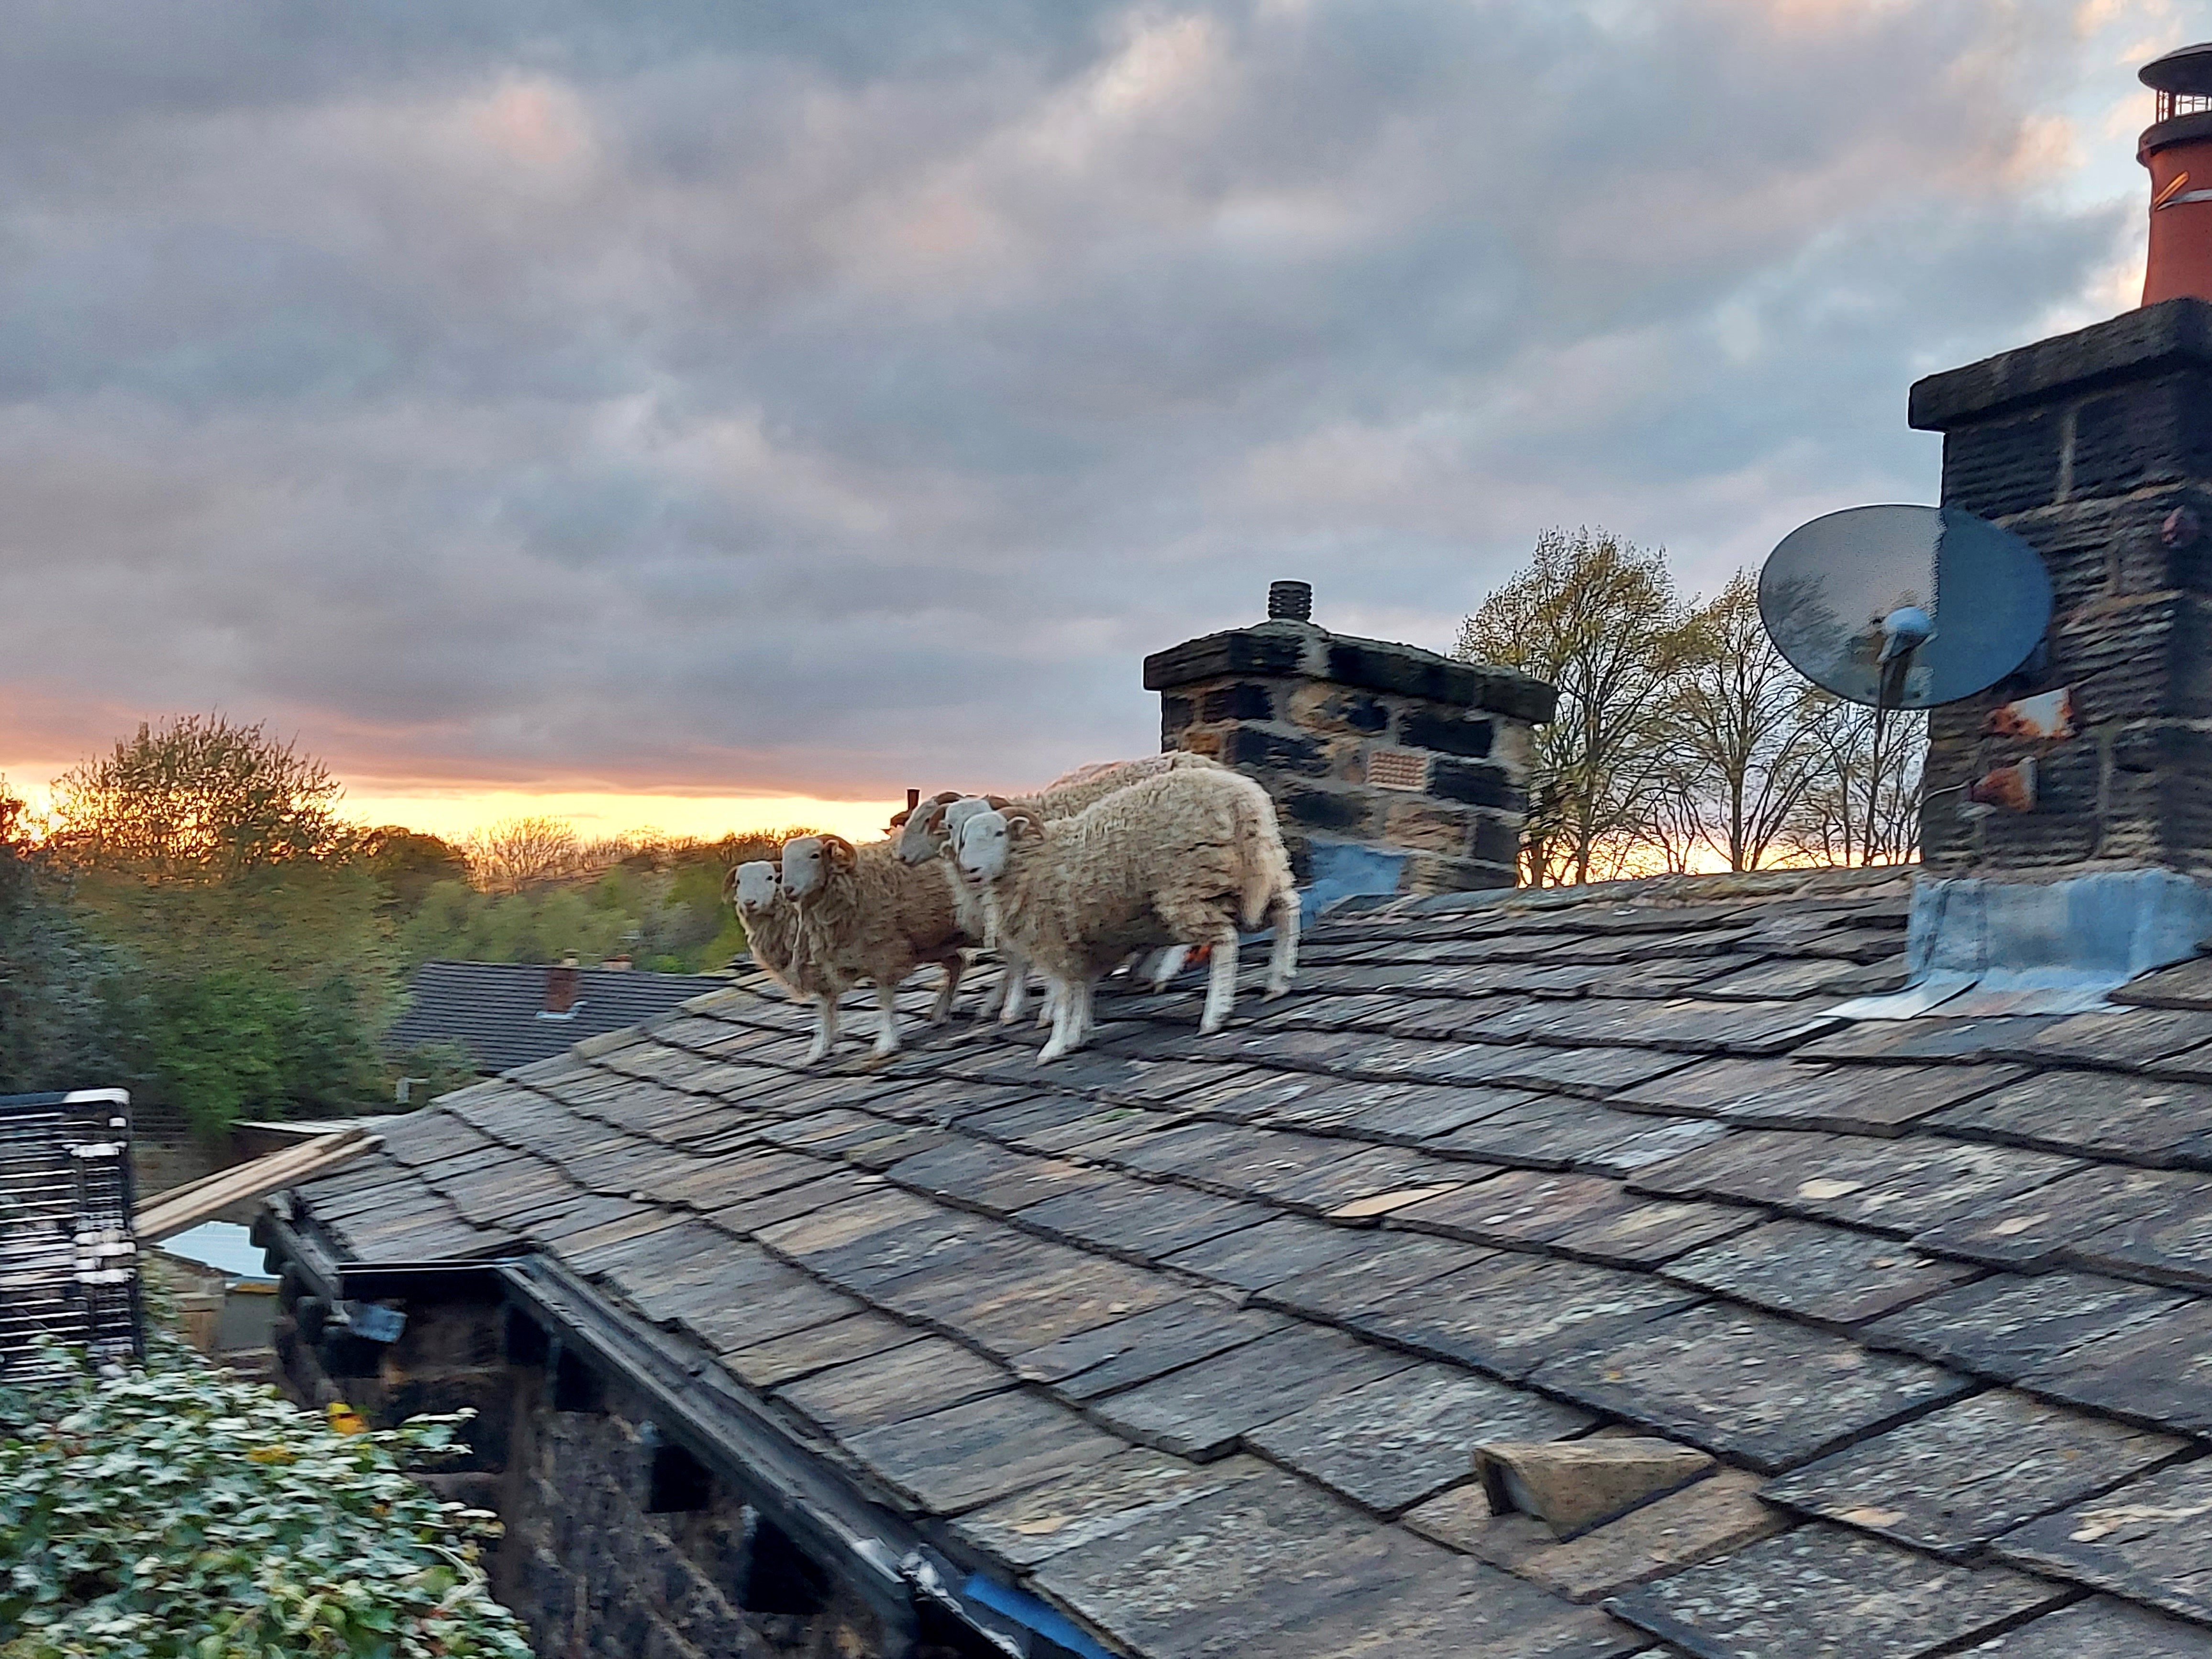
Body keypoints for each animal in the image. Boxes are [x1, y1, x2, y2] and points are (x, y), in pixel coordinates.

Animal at [725, 863, 845, 1057]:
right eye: (739, 882)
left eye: (770, 878)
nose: (749, 903)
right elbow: (827, 1006)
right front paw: (823, 1048)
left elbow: (826, 1009)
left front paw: (820, 1049)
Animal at [787, 831, 977, 1066]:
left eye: (814, 856)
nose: (788, 890)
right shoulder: (833, 963)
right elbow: (826, 1005)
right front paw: (819, 1049)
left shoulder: (886, 952)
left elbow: (884, 998)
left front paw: (886, 1043)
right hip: (936, 942)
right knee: (957, 964)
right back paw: (941, 1012)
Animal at [951, 765, 1292, 1066]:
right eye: (963, 837)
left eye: (998, 833)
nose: (970, 870)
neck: (1032, 859)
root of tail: (1239, 796)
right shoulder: (1083, 944)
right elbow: (1081, 992)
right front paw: (1076, 1036)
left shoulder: (1056, 939)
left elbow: (1064, 997)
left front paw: (1054, 1046)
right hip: (1255, 870)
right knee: (1286, 909)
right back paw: (1279, 981)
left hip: (1189, 884)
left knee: (1225, 940)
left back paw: (1214, 1015)